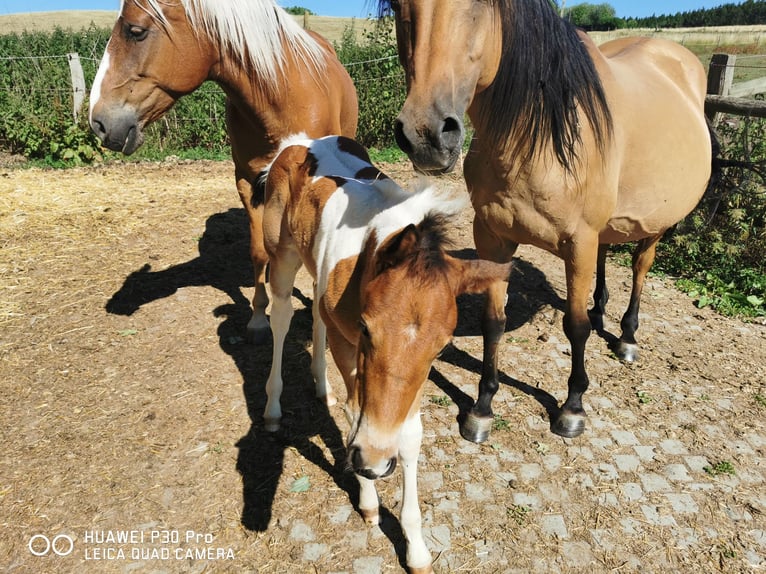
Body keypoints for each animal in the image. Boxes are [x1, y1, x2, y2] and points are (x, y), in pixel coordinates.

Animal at [88, 0, 358, 342]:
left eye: (136, 31)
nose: (98, 122)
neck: (282, 95)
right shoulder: (248, 182)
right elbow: (259, 252)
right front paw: (258, 318)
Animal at [262, 136, 510, 574]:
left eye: (442, 346)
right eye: (366, 328)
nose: (374, 460)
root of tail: (300, 143)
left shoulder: (411, 382)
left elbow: (409, 435)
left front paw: (416, 547)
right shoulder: (349, 345)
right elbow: (354, 412)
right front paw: (368, 498)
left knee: (316, 317)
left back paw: (321, 387)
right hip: (282, 257)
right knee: (282, 317)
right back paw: (273, 408)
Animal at [380, 0, 716, 440]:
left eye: (478, 6)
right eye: (399, 6)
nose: (426, 135)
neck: (537, 136)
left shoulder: (579, 243)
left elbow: (575, 327)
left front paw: (572, 408)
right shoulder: (492, 238)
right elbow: (493, 321)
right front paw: (482, 409)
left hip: (655, 224)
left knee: (640, 267)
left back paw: (627, 337)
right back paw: (601, 308)